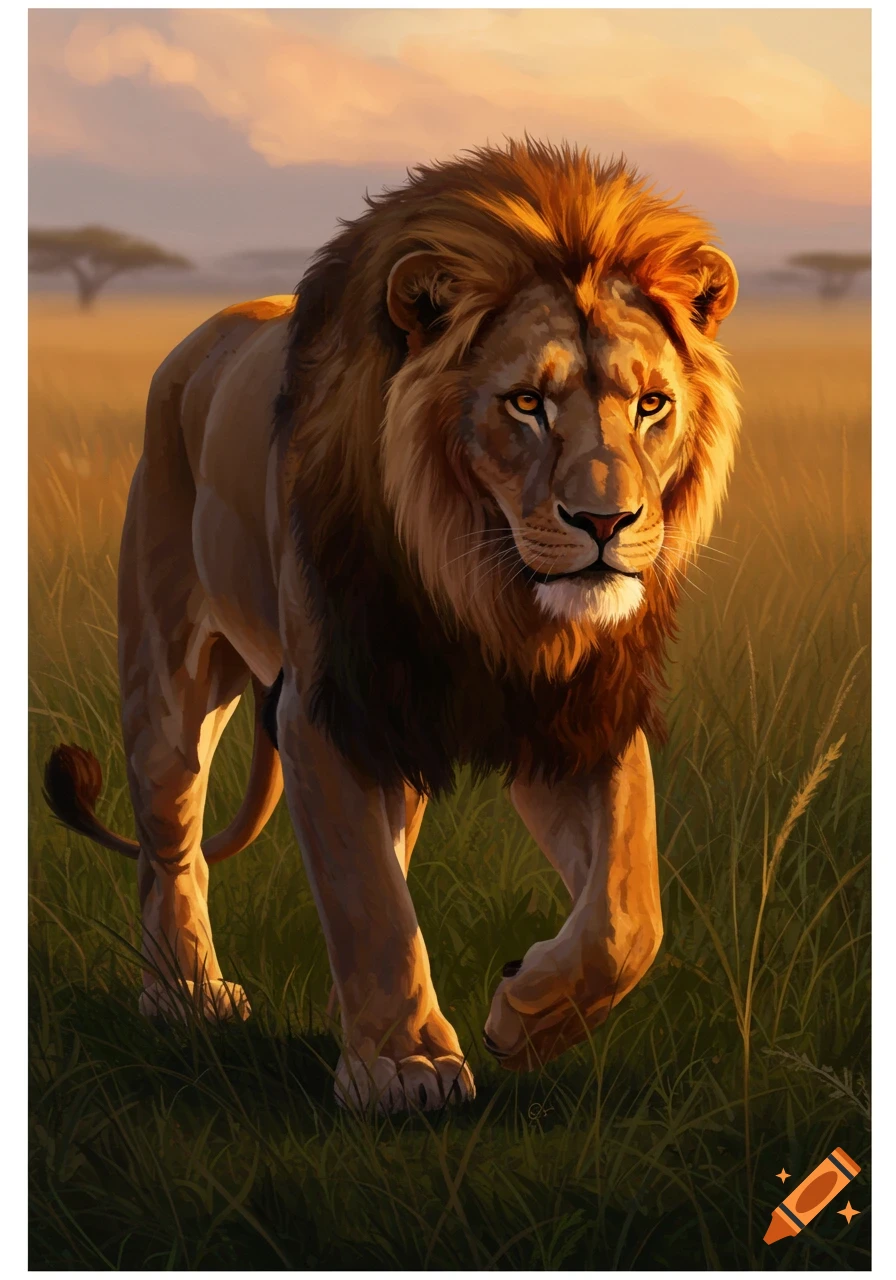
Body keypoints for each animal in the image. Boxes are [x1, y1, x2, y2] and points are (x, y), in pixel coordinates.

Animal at [44, 140, 740, 1112]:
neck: (482, 589)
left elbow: (628, 908)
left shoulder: (575, 711)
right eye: (526, 404)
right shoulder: (327, 708)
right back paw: (184, 996)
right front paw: (405, 1067)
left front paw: (524, 1012)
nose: (605, 522)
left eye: (651, 406)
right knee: (171, 843)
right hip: (170, 673)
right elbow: (367, 896)